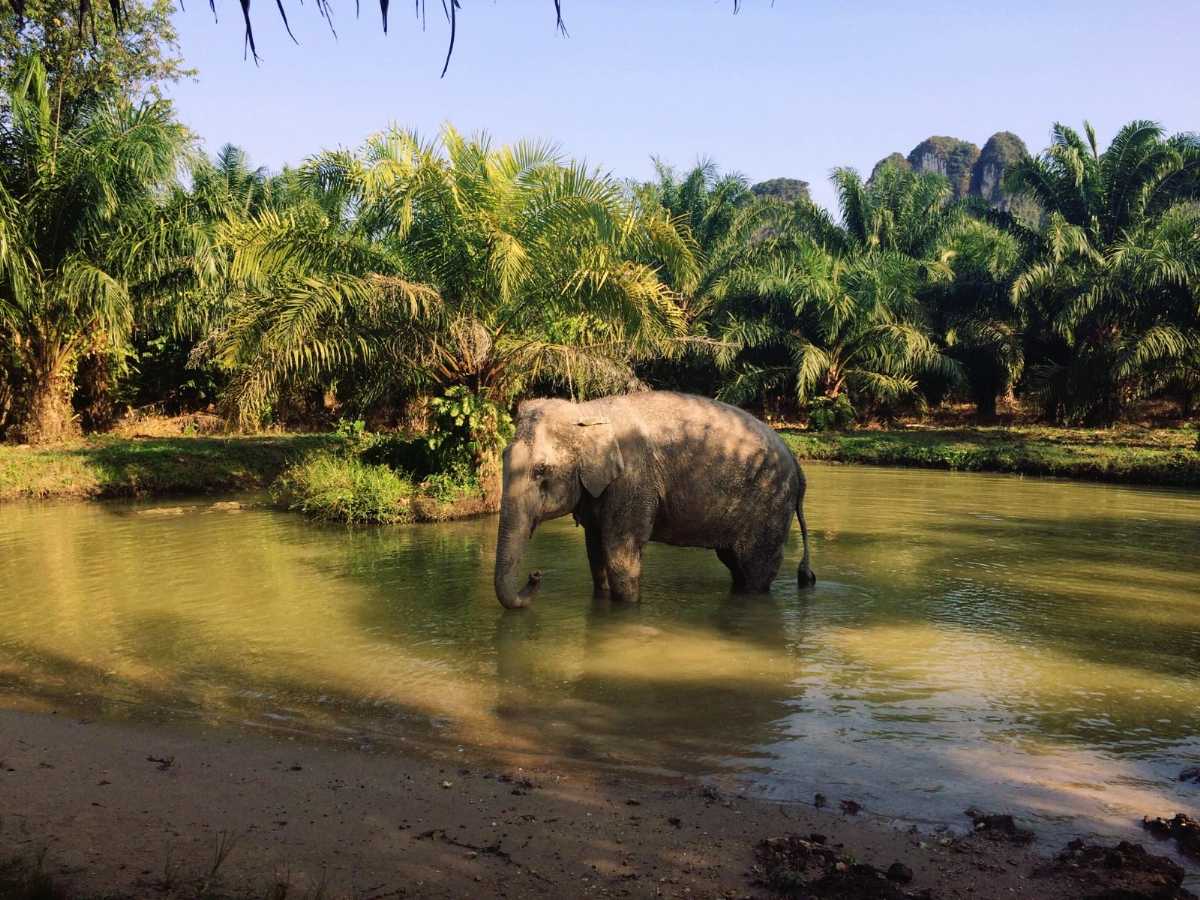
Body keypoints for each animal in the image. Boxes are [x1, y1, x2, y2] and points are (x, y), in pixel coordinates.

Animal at [489, 391, 816, 609]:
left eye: (540, 470)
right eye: (503, 457)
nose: (535, 574)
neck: (589, 411)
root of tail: (798, 466)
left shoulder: (633, 480)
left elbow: (620, 555)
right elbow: (595, 553)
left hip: (771, 504)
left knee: (756, 568)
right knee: (735, 562)